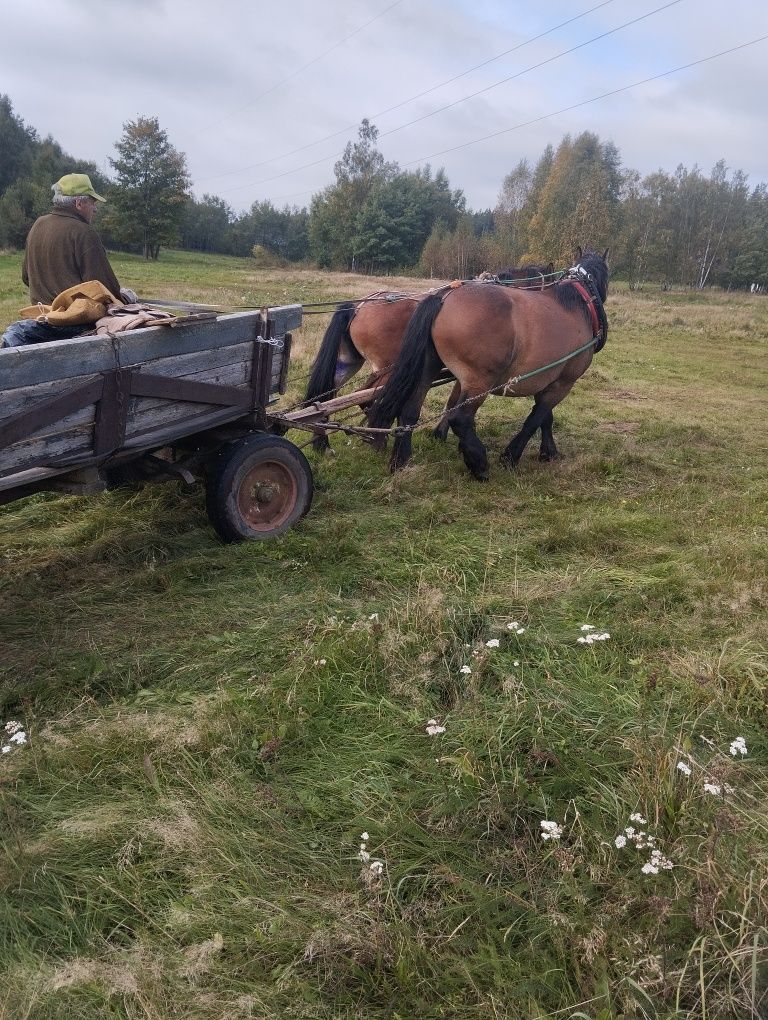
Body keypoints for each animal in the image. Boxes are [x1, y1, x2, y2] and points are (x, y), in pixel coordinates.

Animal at [369, 250, 607, 481]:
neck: (577, 305)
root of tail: (443, 298)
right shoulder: (564, 382)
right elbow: (535, 419)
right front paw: (511, 455)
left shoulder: (548, 379)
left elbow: (545, 417)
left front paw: (548, 451)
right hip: (479, 382)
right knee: (460, 419)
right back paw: (479, 464)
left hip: (428, 369)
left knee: (410, 410)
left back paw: (401, 461)